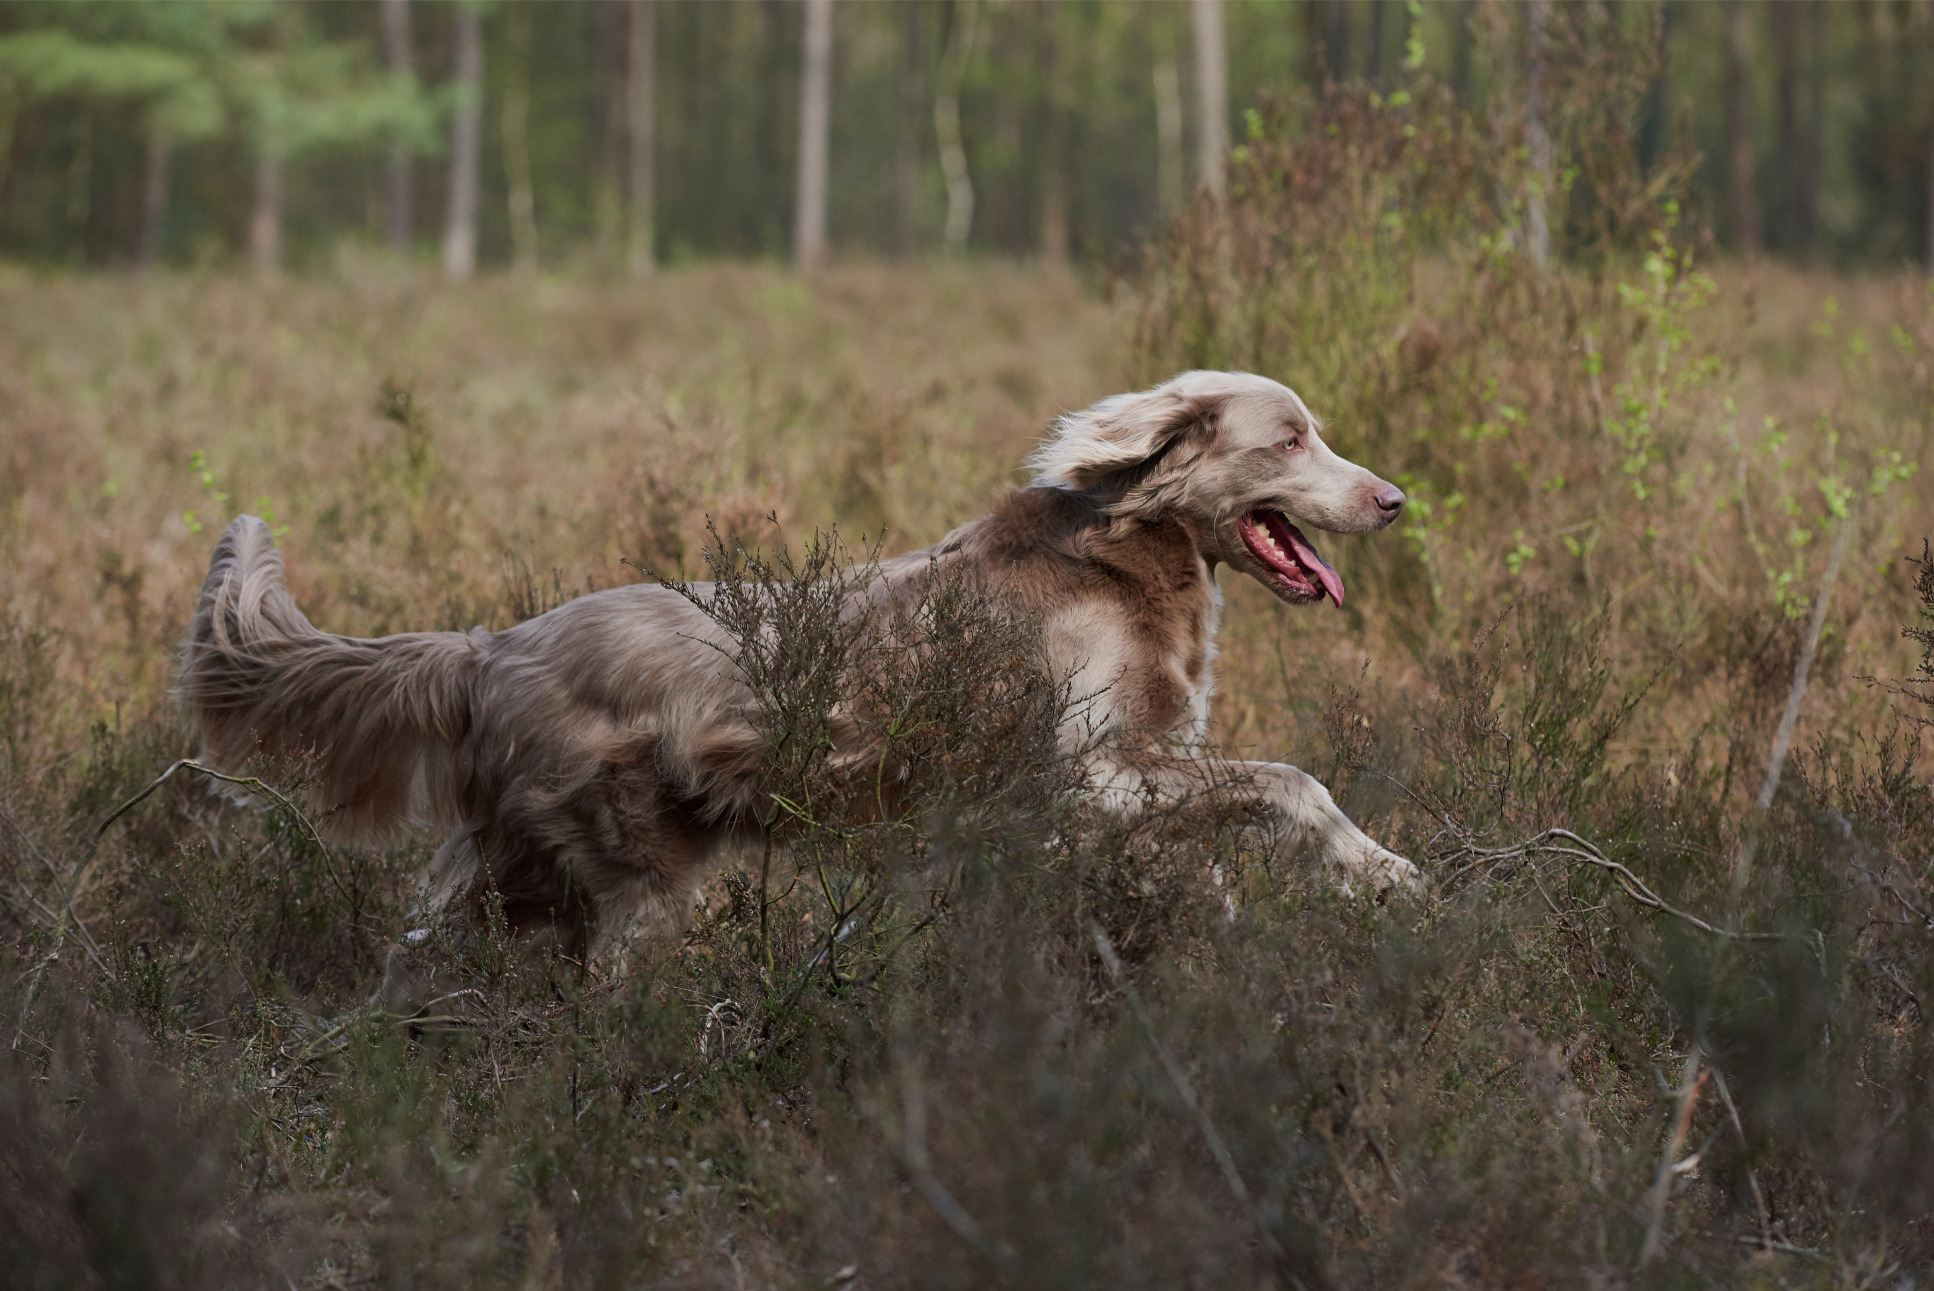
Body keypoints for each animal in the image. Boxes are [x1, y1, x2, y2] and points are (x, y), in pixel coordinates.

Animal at [181, 367, 1423, 954]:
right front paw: (1385, 874)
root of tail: (488, 646)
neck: (1120, 555)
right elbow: (1292, 781)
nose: (1392, 498)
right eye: (1289, 438)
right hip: (625, 879)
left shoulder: (1102, 798)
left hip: (512, 870)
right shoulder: (1094, 774)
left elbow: (1204, 864)